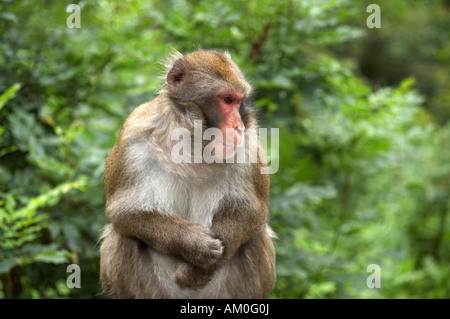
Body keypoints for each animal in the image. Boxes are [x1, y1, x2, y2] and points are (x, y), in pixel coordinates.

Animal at [99, 48, 274, 298]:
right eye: (227, 100)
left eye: (239, 101)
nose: (238, 127)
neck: (194, 142)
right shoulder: (133, 138)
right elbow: (124, 212)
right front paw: (195, 244)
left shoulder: (249, 145)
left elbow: (253, 211)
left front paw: (196, 271)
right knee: (124, 235)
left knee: (255, 235)